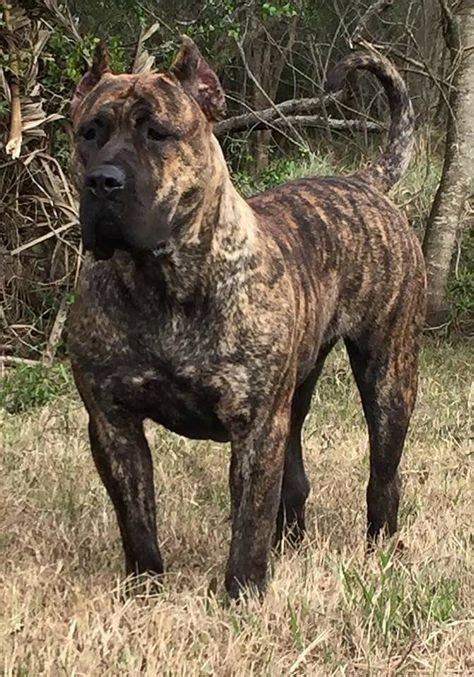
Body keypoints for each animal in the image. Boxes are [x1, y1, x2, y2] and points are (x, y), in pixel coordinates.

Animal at [66, 37, 426, 596]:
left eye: (157, 133)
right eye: (89, 131)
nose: (102, 181)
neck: (163, 284)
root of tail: (361, 181)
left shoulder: (255, 427)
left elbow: (248, 522)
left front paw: (242, 593)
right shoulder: (112, 423)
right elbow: (137, 519)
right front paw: (145, 589)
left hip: (388, 379)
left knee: (383, 475)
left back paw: (380, 549)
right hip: (296, 395)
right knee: (295, 480)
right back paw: (292, 545)